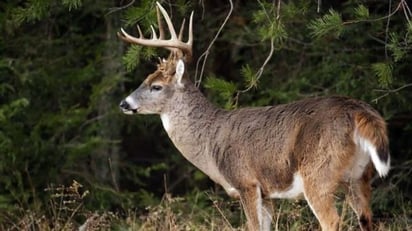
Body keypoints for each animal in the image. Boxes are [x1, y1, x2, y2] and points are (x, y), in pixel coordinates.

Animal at [116, 2, 390, 231]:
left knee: (332, 221)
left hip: (318, 173)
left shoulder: (246, 182)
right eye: (145, 79)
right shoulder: (267, 193)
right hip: (359, 175)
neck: (209, 141)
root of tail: (358, 111)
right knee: (368, 220)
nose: (123, 103)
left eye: (156, 86)